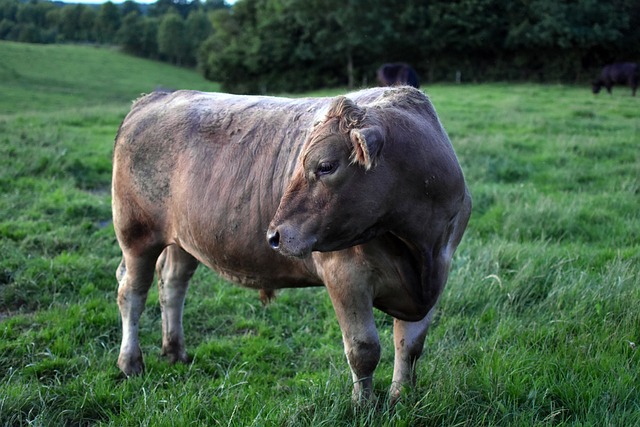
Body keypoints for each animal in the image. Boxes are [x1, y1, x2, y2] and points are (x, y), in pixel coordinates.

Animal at [111, 86, 470, 402]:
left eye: (325, 166)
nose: (274, 235)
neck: (418, 247)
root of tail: (157, 96)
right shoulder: (346, 276)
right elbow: (363, 349)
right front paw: (363, 405)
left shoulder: (438, 274)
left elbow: (410, 346)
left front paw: (401, 397)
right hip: (136, 235)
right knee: (132, 292)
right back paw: (130, 363)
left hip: (184, 239)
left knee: (172, 285)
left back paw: (175, 351)